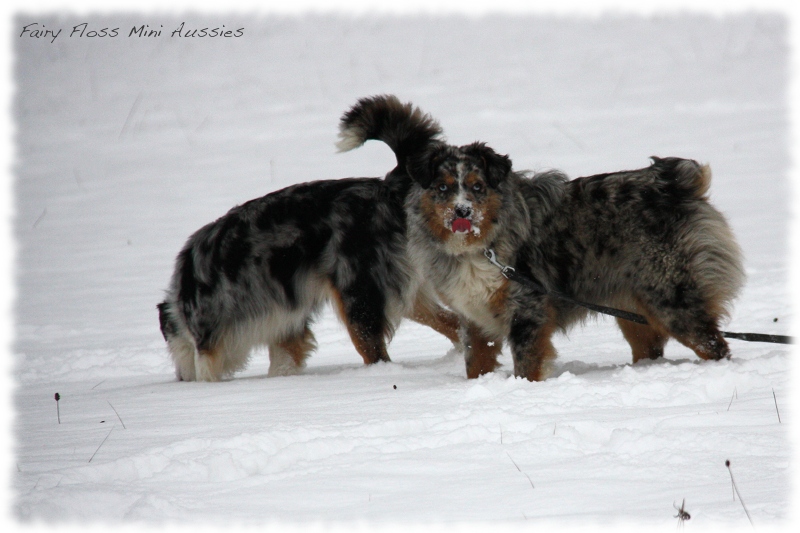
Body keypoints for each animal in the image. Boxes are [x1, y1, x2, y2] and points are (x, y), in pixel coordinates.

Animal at [158, 94, 456, 378]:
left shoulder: (207, 339)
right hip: (408, 294)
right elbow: (283, 363)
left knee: (378, 355)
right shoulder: (286, 328)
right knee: (454, 322)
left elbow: (206, 371)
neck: (180, 300)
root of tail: (384, 188)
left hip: (358, 297)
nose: (180, 378)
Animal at [342, 96, 744, 378]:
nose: (462, 212)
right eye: (442, 188)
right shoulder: (474, 316)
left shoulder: (527, 309)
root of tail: (678, 184)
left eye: (477, 187)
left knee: (715, 344)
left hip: (673, 300)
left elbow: (526, 364)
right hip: (634, 310)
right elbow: (476, 362)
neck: (480, 248)